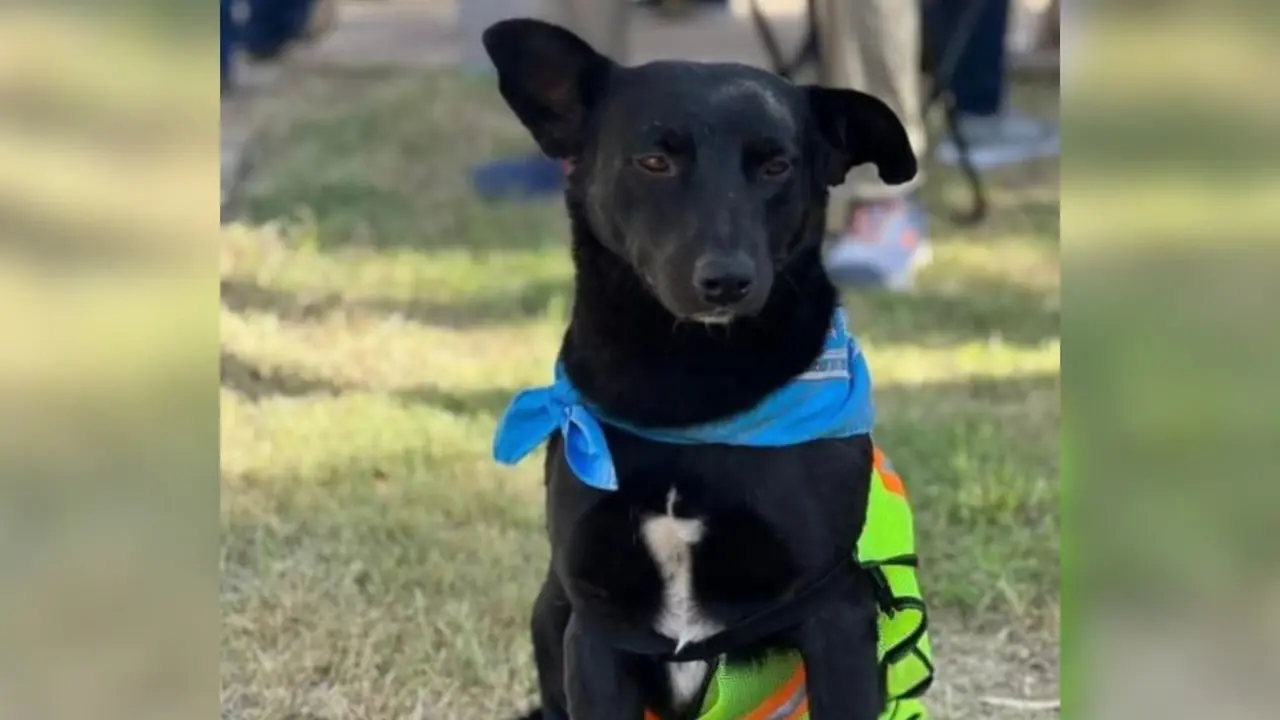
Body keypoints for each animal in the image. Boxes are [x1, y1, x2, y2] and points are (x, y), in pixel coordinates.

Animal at [483, 16, 916, 717]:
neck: (687, 397)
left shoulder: (834, 609)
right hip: (549, 614)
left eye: (776, 165)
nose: (727, 281)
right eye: (655, 160)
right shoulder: (599, 628)